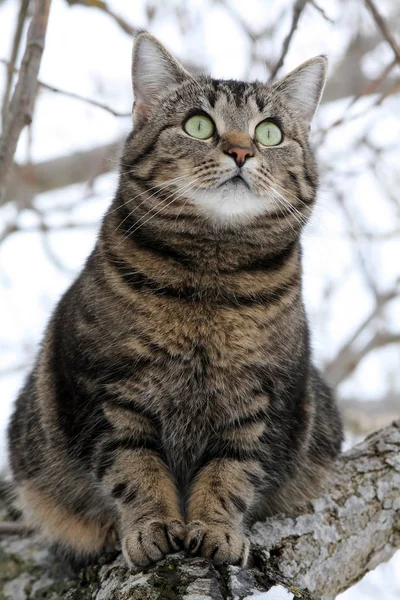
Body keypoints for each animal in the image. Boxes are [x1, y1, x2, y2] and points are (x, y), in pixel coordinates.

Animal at [7, 31, 342, 568]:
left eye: (269, 133)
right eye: (198, 125)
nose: (241, 151)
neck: (208, 283)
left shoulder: (261, 404)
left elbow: (232, 473)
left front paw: (216, 529)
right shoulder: (107, 392)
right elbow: (134, 468)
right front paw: (152, 526)